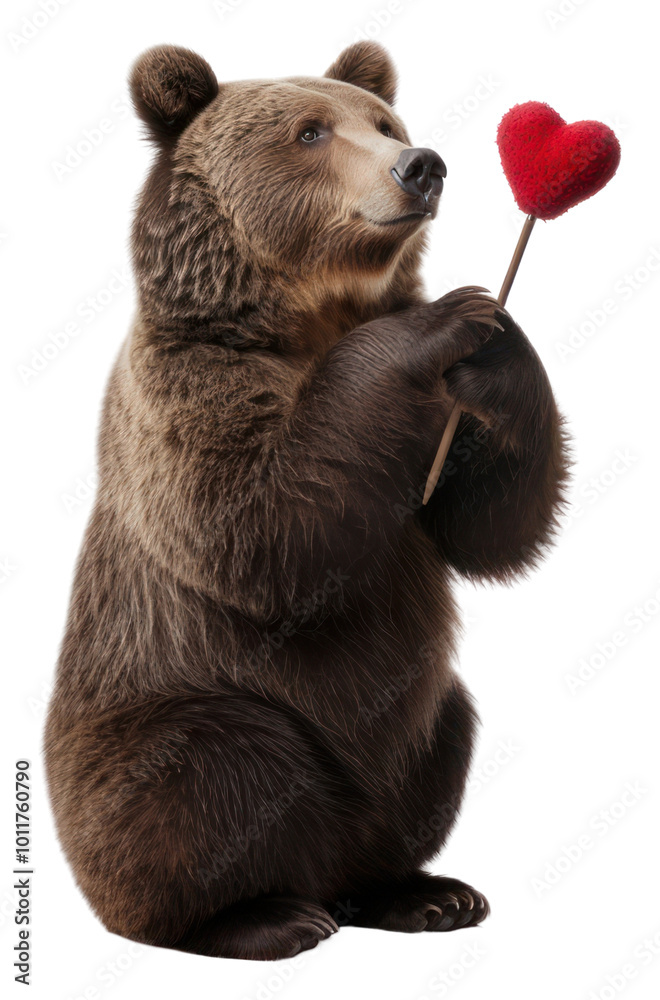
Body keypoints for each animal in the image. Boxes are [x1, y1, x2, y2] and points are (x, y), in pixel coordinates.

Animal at [44, 41, 570, 961]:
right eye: (310, 131)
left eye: (384, 120)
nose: (420, 165)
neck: (307, 316)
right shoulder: (190, 393)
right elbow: (265, 525)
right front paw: (444, 317)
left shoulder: (432, 438)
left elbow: (489, 525)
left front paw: (496, 327)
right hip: (172, 704)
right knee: (208, 773)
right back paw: (265, 917)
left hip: (410, 734)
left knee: (440, 742)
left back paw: (423, 893)